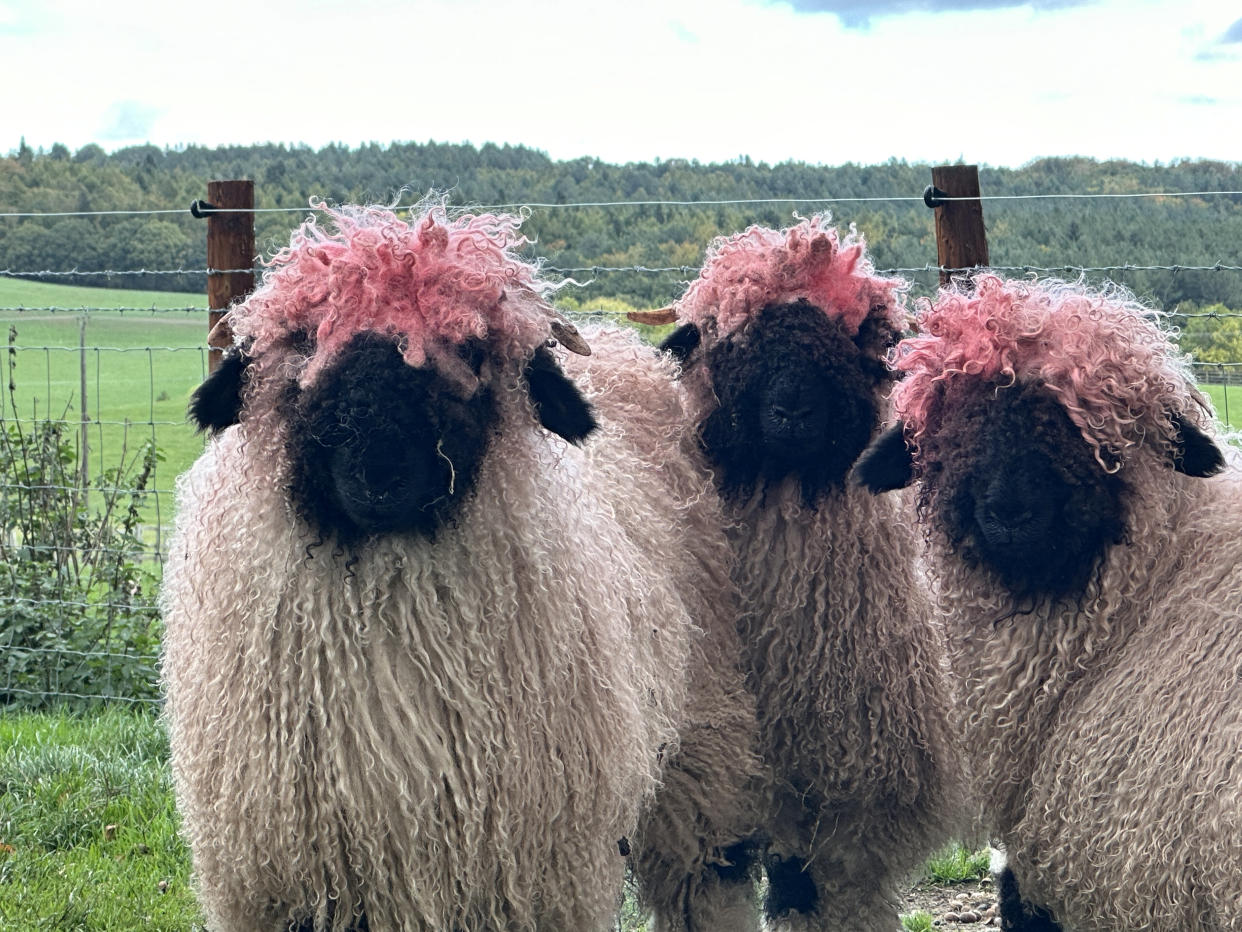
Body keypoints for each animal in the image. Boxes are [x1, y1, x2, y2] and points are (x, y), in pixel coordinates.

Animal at [160, 203, 750, 932]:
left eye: (470, 351)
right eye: (305, 344)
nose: (381, 472)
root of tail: (626, 350)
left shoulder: (531, 877)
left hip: (701, 741)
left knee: (708, 875)